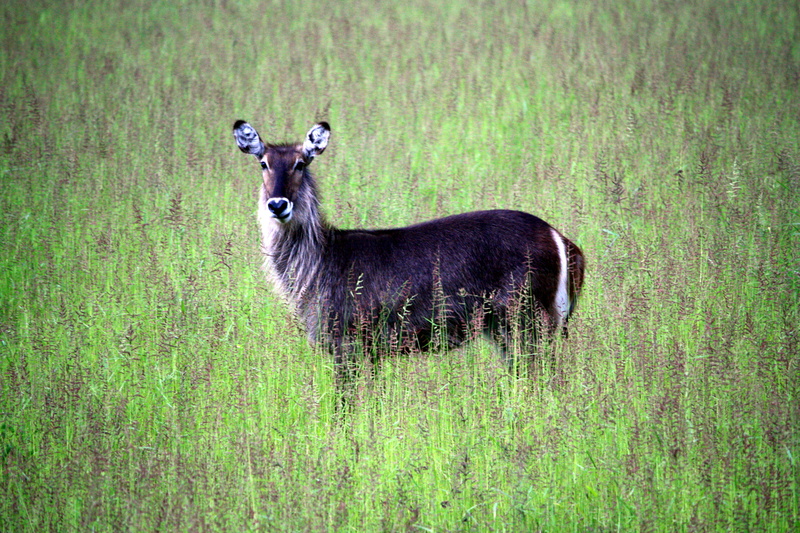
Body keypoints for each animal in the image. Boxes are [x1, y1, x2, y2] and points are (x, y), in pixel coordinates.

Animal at [232, 119, 585, 382]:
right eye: (263, 163)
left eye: (301, 163)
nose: (278, 205)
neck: (319, 264)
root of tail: (560, 239)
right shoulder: (370, 351)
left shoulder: (347, 343)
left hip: (527, 322)